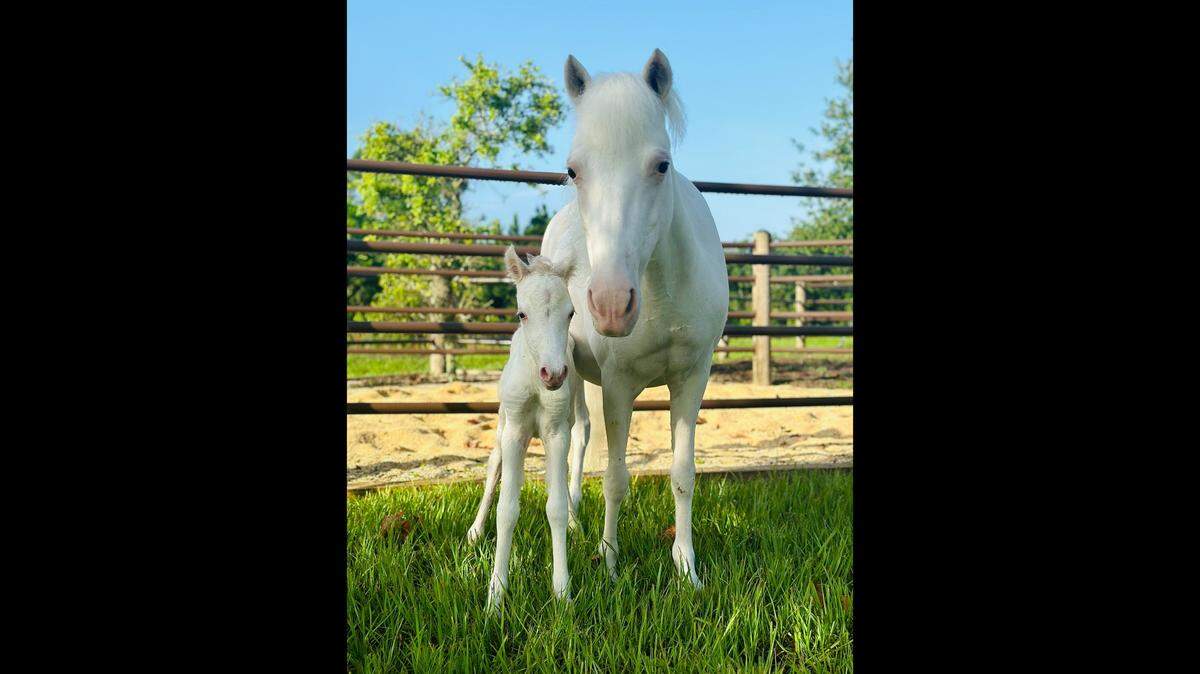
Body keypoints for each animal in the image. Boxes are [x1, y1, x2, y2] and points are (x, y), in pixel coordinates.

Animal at [467, 247, 585, 607]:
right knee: (493, 467)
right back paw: (475, 530)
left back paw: (575, 522)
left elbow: (555, 505)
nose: (554, 374)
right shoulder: (515, 431)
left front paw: (562, 592)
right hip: (502, 424)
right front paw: (496, 595)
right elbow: (506, 510)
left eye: (570, 312)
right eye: (522, 314)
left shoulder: (557, 432)